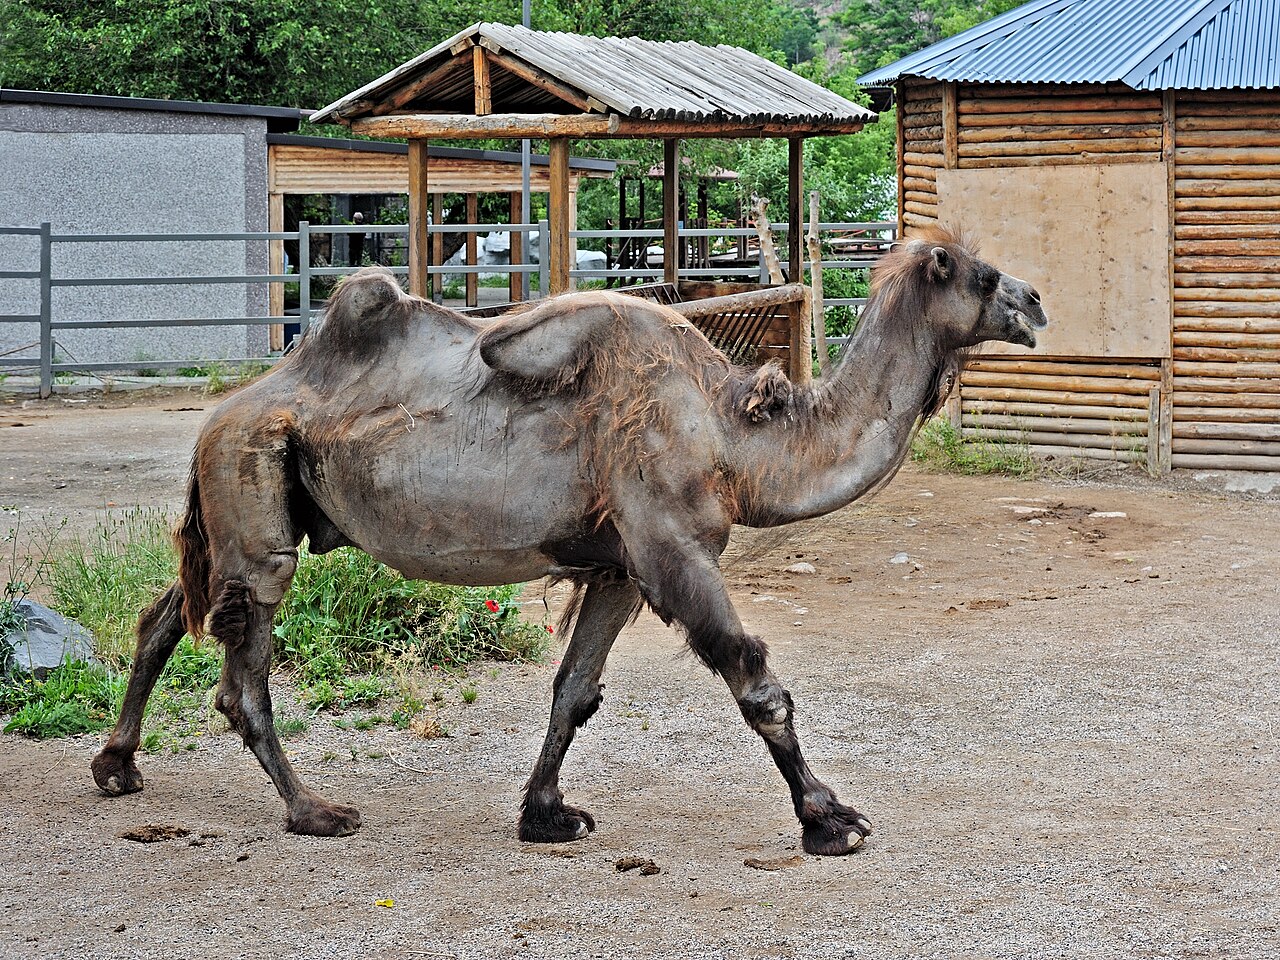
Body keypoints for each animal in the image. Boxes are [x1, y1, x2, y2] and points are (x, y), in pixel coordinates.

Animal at [91, 226, 1046, 856]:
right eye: (982, 274)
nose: (1036, 300)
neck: (737, 444)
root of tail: (227, 410)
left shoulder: (620, 566)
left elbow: (573, 693)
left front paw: (546, 815)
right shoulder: (671, 545)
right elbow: (756, 681)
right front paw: (830, 819)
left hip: (249, 503)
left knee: (170, 611)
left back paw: (116, 765)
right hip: (253, 485)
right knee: (240, 671)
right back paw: (316, 811)